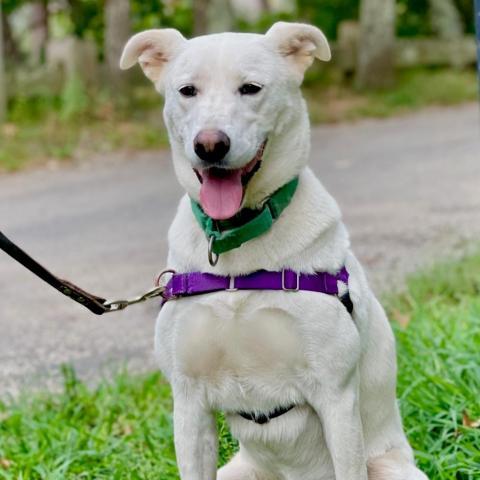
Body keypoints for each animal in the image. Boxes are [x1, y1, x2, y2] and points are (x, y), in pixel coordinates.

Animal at [120, 22, 428, 480]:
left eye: (251, 88)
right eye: (187, 90)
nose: (210, 145)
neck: (238, 244)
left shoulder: (336, 396)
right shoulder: (189, 404)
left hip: (393, 468)